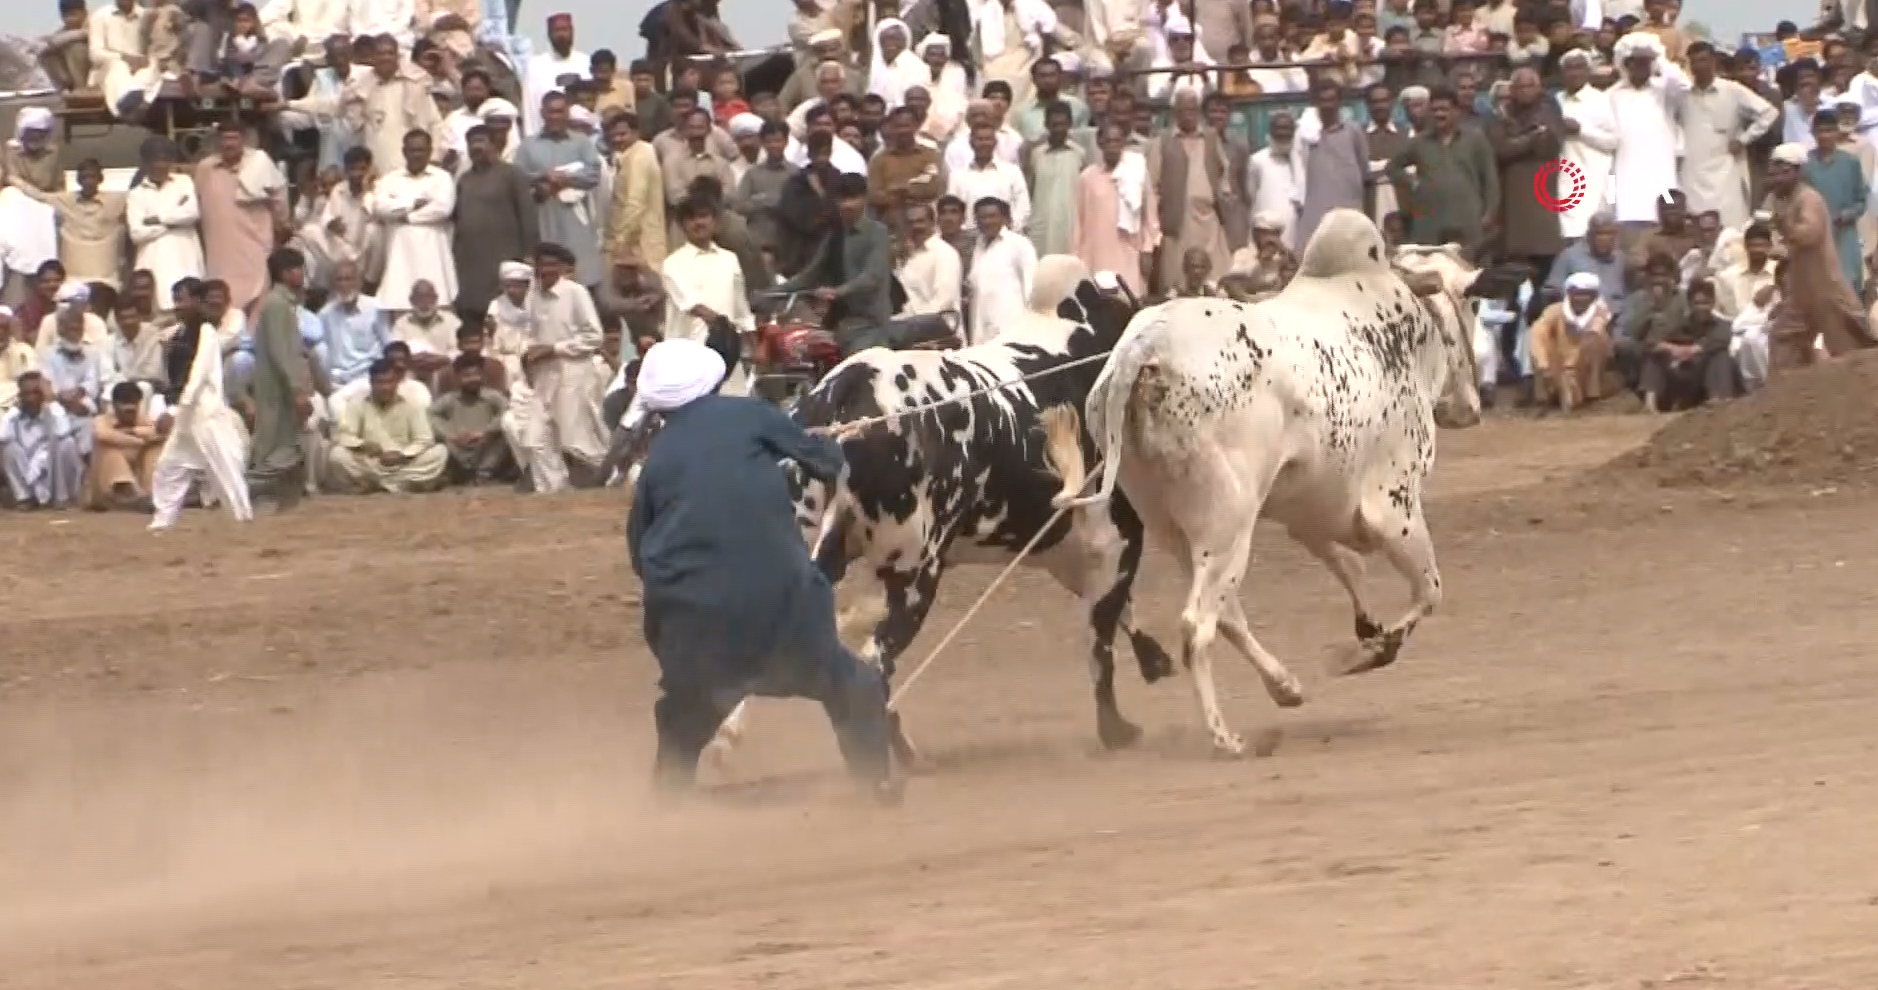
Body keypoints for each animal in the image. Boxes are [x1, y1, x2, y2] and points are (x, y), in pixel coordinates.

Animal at [706, 257, 1171, 766]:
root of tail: (846, 395)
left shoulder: (1062, 546)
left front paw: (1154, 661)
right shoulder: (1114, 541)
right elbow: (1102, 638)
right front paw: (1117, 727)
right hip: (914, 575)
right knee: (873, 661)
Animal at [1059, 213, 1524, 755]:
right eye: (1473, 303)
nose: (1469, 408)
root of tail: (1145, 348)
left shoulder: (1312, 513)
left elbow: (1351, 568)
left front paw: (1367, 630)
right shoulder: (1394, 510)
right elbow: (1429, 592)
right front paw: (1366, 652)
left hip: (1175, 527)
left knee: (1227, 614)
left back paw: (1283, 687)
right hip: (1229, 525)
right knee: (1198, 624)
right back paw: (1226, 738)